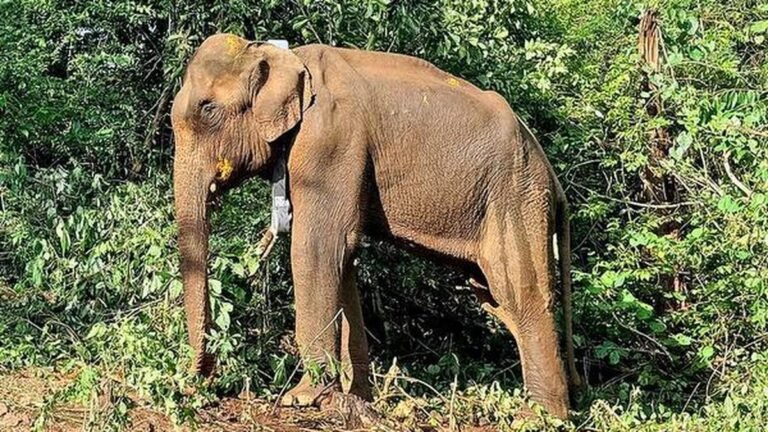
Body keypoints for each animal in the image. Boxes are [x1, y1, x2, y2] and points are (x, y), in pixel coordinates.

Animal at [171, 33, 580, 418]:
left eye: (208, 109)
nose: (201, 382)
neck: (282, 55)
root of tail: (552, 175)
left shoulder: (329, 142)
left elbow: (317, 249)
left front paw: (301, 399)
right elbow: (343, 258)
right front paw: (356, 399)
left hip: (515, 197)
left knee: (522, 291)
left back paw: (541, 415)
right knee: (496, 300)